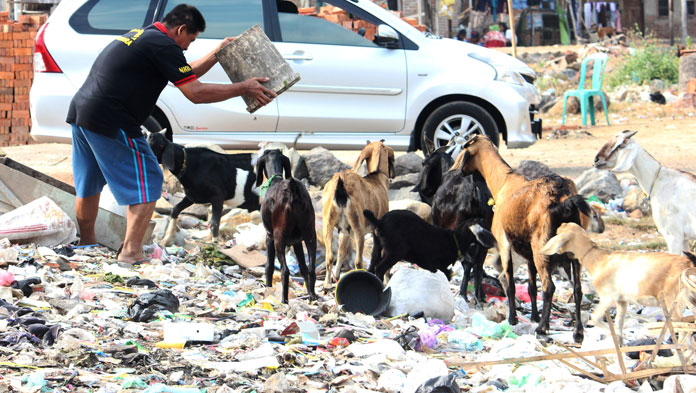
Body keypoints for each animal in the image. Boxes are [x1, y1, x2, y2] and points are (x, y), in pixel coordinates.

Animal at [256, 149, 318, 302]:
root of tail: (292, 188)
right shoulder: (297, 242)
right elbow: (303, 267)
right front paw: (309, 292)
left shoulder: (269, 237)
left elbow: (269, 266)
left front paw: (268, 290)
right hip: (311, 236)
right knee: (311, 268)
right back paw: (313, 295)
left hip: (279, 239)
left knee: (285, 270)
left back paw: (284, 300)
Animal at [322, 139, 394, 286]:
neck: (377, 180)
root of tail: (341, 186)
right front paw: (386, 280)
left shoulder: (344, 231)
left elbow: (341, 254)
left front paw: (336, 277)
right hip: (358, 229)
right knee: (358, 262)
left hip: (328, 225)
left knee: (330, 257)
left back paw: (327, 285)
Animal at [364, 210, 494, 286]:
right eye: (486, 228)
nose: (493, 242)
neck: (454, 239)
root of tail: (380, 222)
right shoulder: (434, 265)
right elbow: (446, 275)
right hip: (395, 251)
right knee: (379, 268)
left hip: (377, 245)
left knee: (372, 264)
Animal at [456, 133, 592, 342]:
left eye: (463, 150)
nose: (456, 171)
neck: (504, 182)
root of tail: (565, 200)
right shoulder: (528, 255)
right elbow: (531, 287)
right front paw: (534, 316)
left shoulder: (504, 243)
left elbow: (510, 282)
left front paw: (513, 319)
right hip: (573, 253)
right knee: (577, 289)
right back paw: (578, 332)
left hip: (542, 249)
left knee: (549, 287)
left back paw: (543, 329)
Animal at [544, 222, 696, 342]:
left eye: (558, 233)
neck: (600, 260)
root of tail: (688, 265)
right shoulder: (622, 301)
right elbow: (619, 323)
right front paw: (620, 342)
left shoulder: (608, 297)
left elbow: (595, 318)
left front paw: (616, 337)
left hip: (672, 302)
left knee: (683, 326)